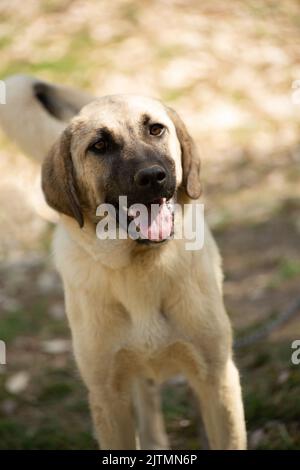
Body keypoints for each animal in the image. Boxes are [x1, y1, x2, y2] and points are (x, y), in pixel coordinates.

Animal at [0, 75, 246, 450]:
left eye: (156, 129)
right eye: (99, 146)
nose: (152, 176)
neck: (140, 267)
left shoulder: (217, 378)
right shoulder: (108, 397)